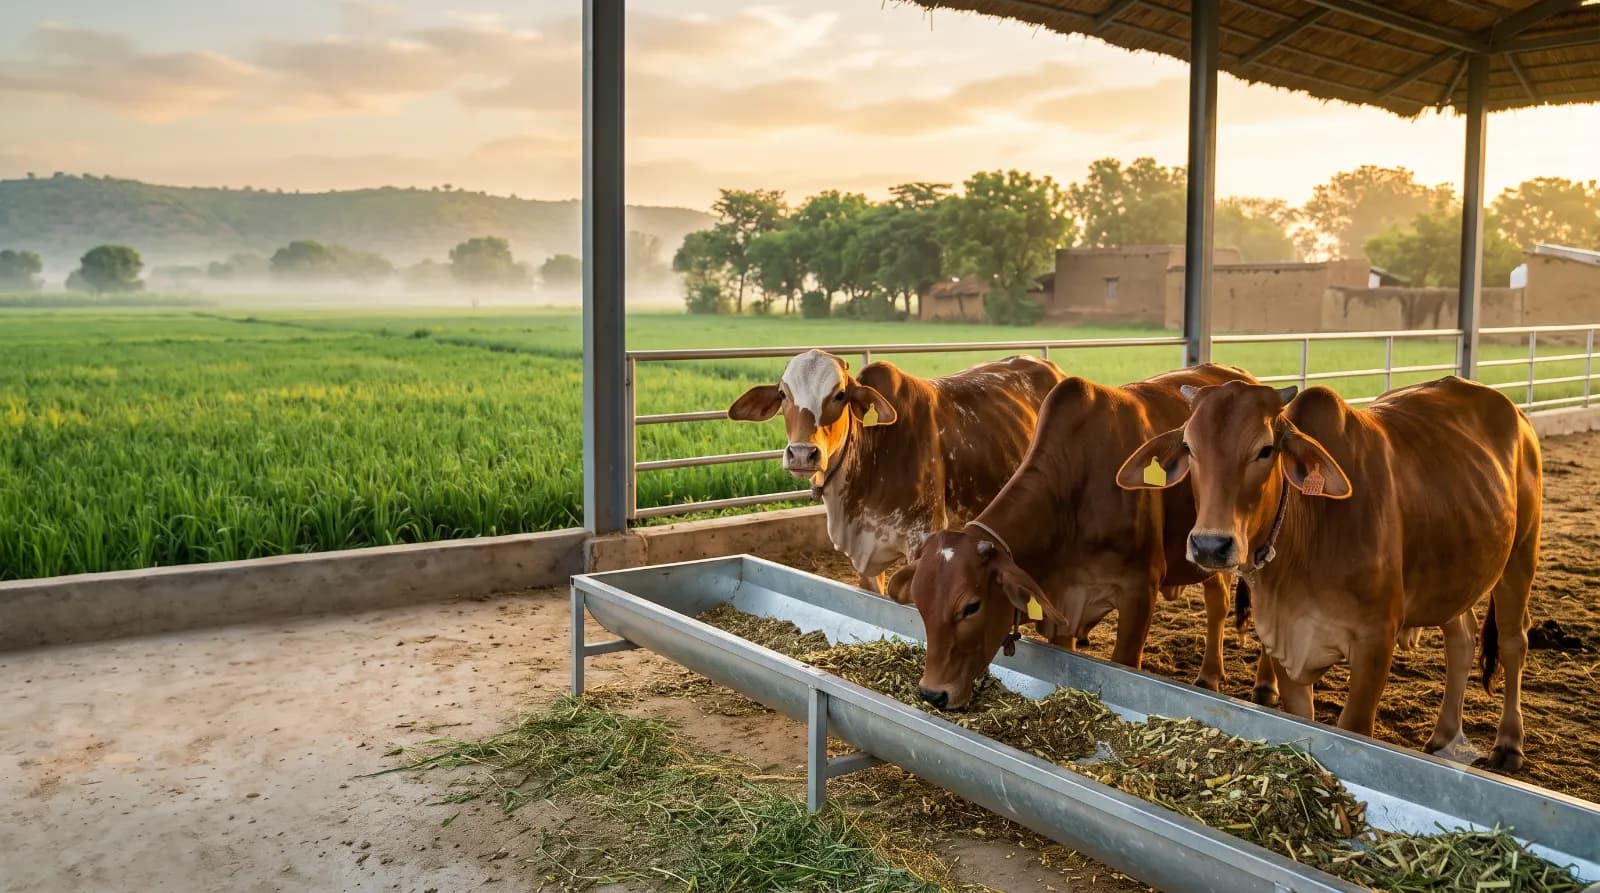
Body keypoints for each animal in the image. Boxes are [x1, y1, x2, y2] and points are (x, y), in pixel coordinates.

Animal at [886, 364, 1272, 710]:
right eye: (921, 603)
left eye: (971, 606)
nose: (933, 694)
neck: (1077, 490)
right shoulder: (1063, 605)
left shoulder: (1140, 590)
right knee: (1218, 598)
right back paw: (1210, 674)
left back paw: (1261, 686)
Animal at [1116, 377, 1541, 770]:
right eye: (1190, 447)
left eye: (1265, 450)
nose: (1209, 545)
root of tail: (1512, 411)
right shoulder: (1284, 643)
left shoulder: (1375, 642)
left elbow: (1353, 727)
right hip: (1455, 571)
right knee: (1462, 639)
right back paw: (1445, 736)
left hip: (1521, 555)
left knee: (1514, 641)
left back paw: (1509, 743)